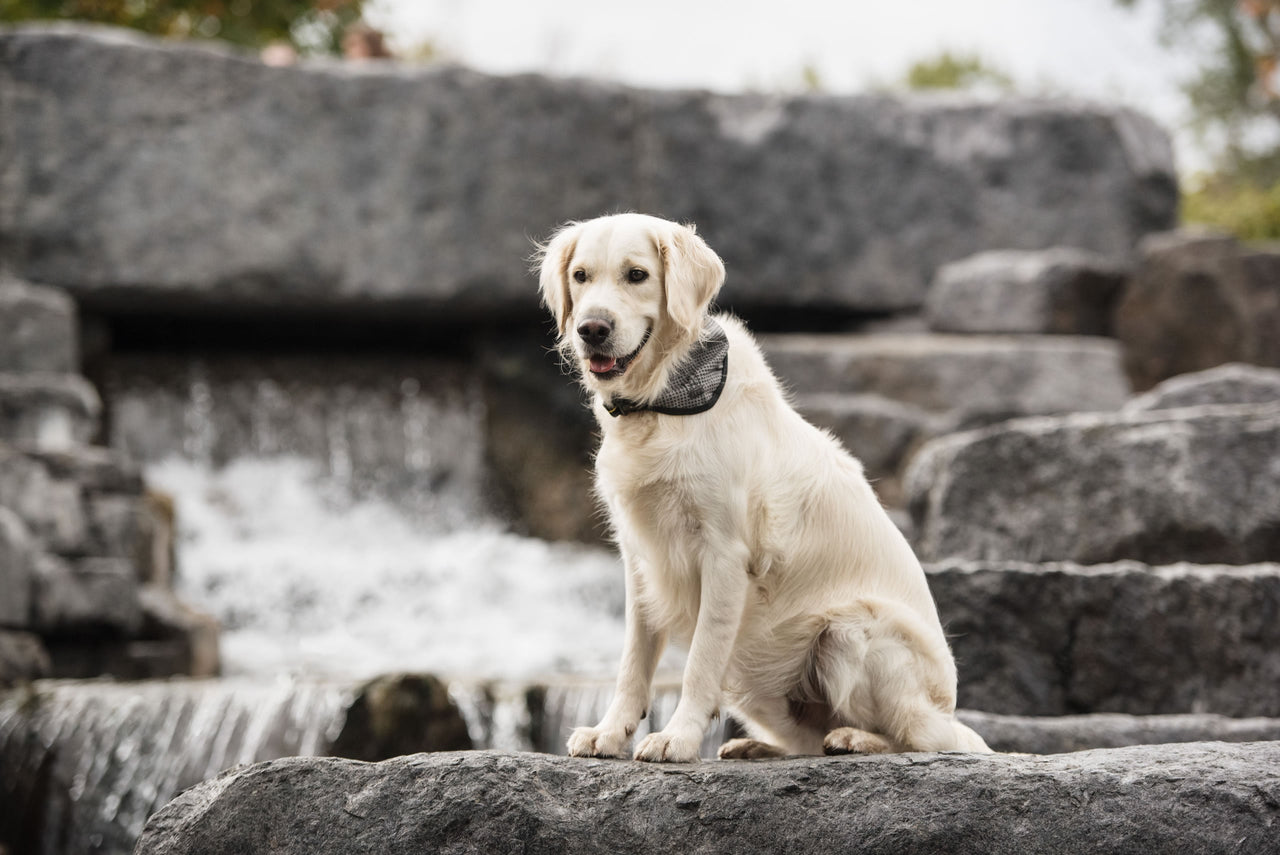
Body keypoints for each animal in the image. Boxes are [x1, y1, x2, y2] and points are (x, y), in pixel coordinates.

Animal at [535, 212, 983, 762]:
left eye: (636, 275)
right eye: (581, 276)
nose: (591, 329)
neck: (666, 399)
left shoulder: (724, 556)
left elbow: (700, 661)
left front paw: (677, 738)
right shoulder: (641, 557)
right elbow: (632, 663)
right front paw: (610, 732)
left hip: (850, 629)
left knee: (926, 737)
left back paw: (856, 738)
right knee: (808, 742)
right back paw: (758, 746)